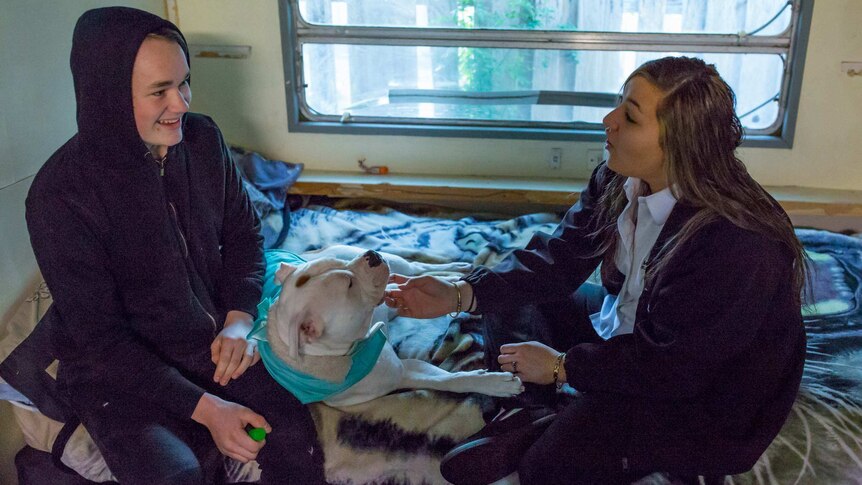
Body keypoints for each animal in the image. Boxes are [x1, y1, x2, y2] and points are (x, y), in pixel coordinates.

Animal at [264, 244, 524, 406]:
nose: (371, 254)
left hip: (395, 266)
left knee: (418, 268)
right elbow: (447, 380)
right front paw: (496, 384)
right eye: (349, 285)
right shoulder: (402, 373)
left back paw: (456, 272)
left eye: (343, 263)